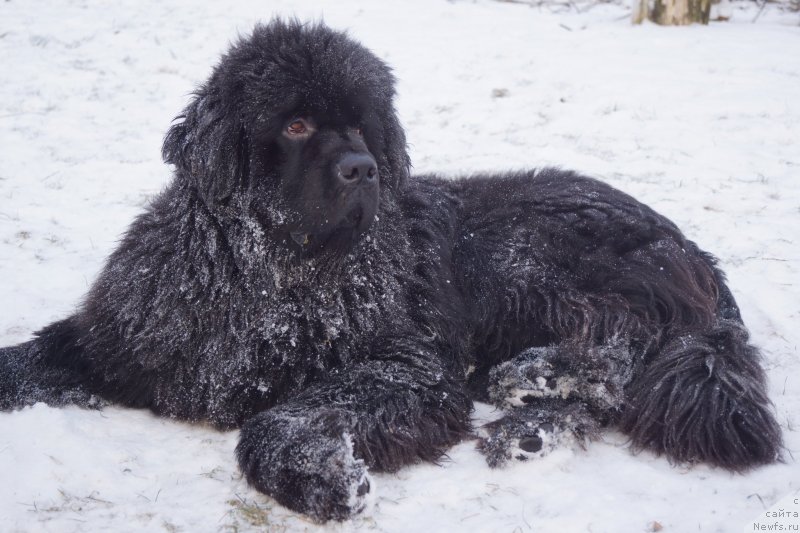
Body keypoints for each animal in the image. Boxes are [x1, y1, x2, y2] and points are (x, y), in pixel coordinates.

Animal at [0, 19, 784, 520]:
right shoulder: (121, 338)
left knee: (623, 348)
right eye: (294, 125)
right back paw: (528, 426)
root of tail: (690, 245)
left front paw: (319, 476)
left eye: (363, 125)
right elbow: (30, 355)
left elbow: (282, 414)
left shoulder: (406, 367)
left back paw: (532, 377)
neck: (273, 275)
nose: (362, 167)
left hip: (522, 252)